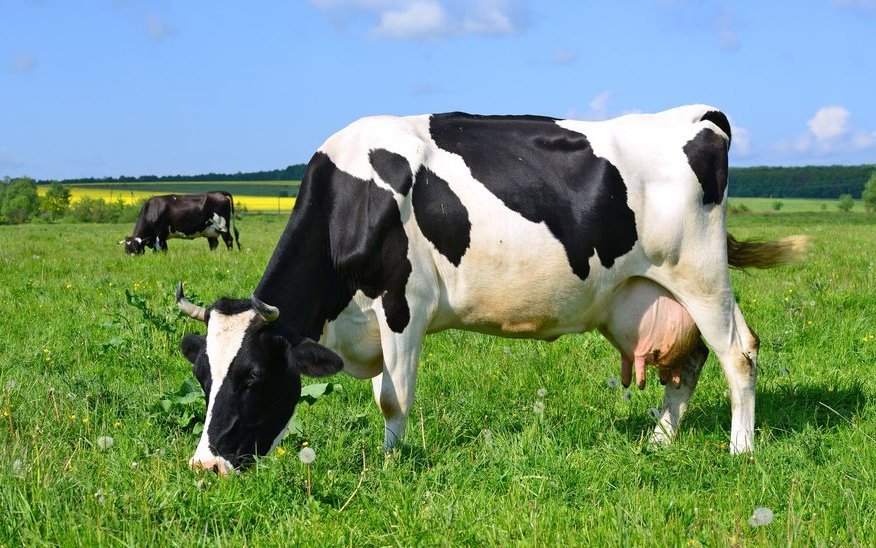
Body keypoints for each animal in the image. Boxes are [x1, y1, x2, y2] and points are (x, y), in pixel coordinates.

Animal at [174, 105, 809, 474]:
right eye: (203, 377)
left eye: (253, 377)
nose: (205, 466)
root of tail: (698, 115)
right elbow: (383, 390)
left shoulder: (403, 304)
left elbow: (392, 397)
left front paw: (390, 463)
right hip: (652, 293)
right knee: (687, 363)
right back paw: (658, 441)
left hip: (700, 274)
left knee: (738, 353)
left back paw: (741, 450)